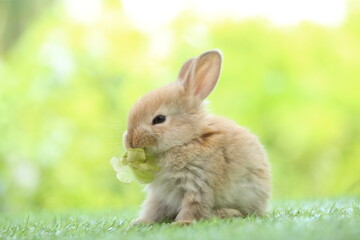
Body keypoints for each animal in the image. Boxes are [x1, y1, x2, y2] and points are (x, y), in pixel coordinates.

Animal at [123, 49, 270, 224]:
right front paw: (140, 222)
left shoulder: (197, 183)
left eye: (159, 119)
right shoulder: (161, 195)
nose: (130, 142)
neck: (187, 140)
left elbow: (194, 206)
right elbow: (153, 208)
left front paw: (182, 223)